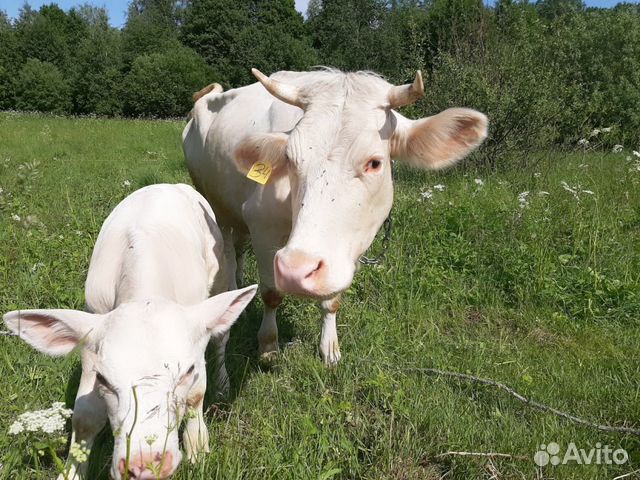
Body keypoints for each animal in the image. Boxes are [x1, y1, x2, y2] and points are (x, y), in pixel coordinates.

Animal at [3, 183, 258, 476]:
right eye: (103, 379)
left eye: (187, 371)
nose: (146, 466)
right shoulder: (93, 333)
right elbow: (85, 415)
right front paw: (71, 471)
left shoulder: (197, 338)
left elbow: (196, 393)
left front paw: (197, 445)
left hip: (220, 274)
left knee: (221, 338)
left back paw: (223, 383)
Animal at [182, 69, 488, 366]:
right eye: (290, 159)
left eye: (374, 163)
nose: (296, 271)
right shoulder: (262, 225)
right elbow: (271, 293)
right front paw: (268, 347)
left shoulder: (345, 247)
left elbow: (332, 300)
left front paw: (329, 349)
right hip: (214, 204)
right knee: (228, 250)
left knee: (239, 248)